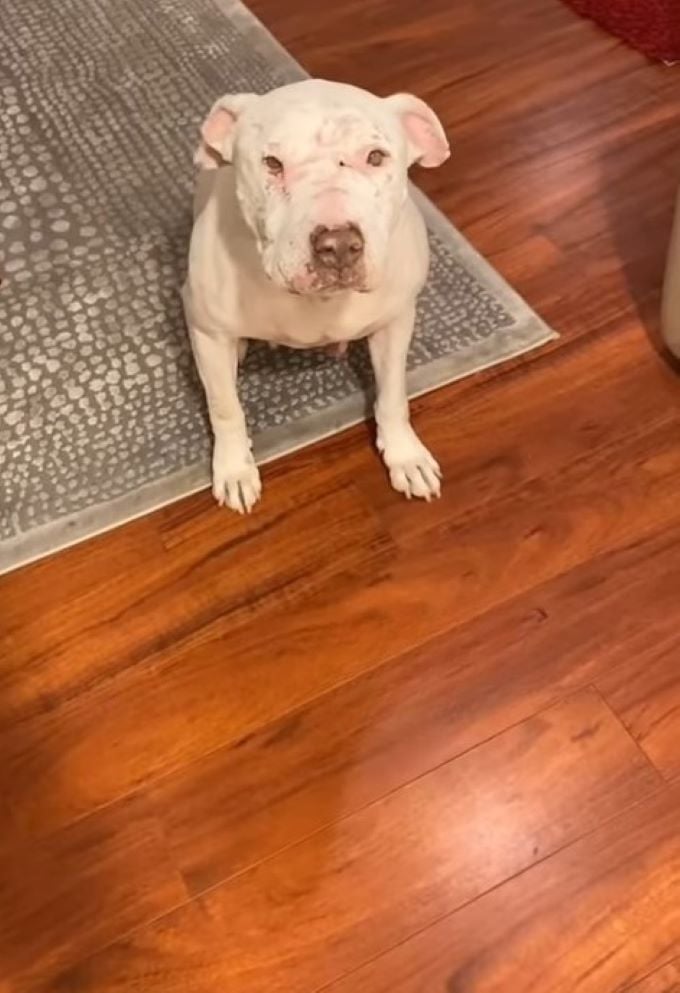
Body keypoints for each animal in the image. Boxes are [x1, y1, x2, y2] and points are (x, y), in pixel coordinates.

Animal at [183, 78, 448, 512]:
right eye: (272, 163)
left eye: (376, 156)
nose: (338, 245)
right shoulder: (208, 332)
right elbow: (225, 408)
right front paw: (235, 469)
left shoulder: (395, 323)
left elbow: (393, 396)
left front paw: (405, 455)